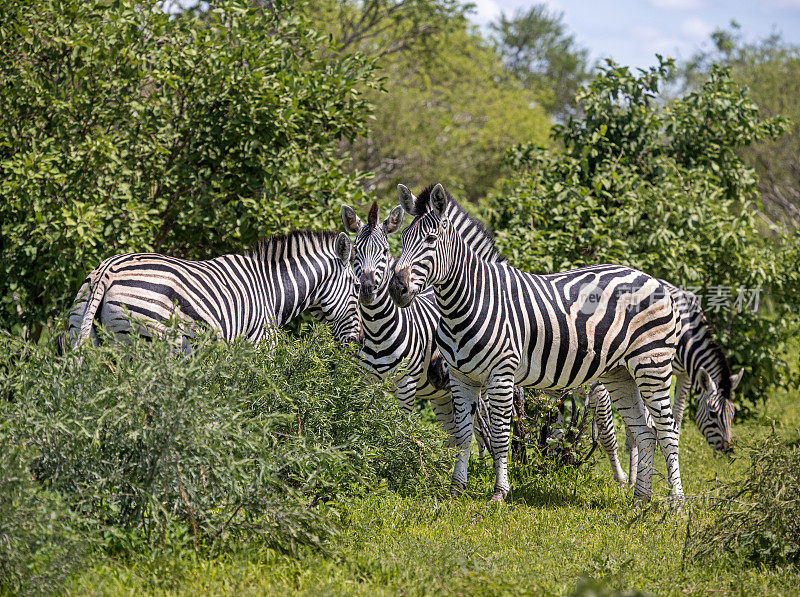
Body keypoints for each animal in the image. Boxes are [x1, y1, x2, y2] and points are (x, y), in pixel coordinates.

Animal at [64, 229, 360, 350]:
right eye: (358, 288)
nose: (357, 342)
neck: (271, 291)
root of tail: (108, 271)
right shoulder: (257, 346)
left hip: (83, 330)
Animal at [390, 183, 684, 502]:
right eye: (402, 239)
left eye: (431, 240)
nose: (396, 288)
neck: (471, 300)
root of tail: (650, 277)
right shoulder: (460, 377)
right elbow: (463, 435)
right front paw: (456, 490)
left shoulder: (502, 375)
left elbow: (501, 436)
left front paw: (499, 493)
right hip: (619, 373)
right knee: (646, 433)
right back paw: (640, 501)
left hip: (652, 365)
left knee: (668, 431)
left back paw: (676, 504)